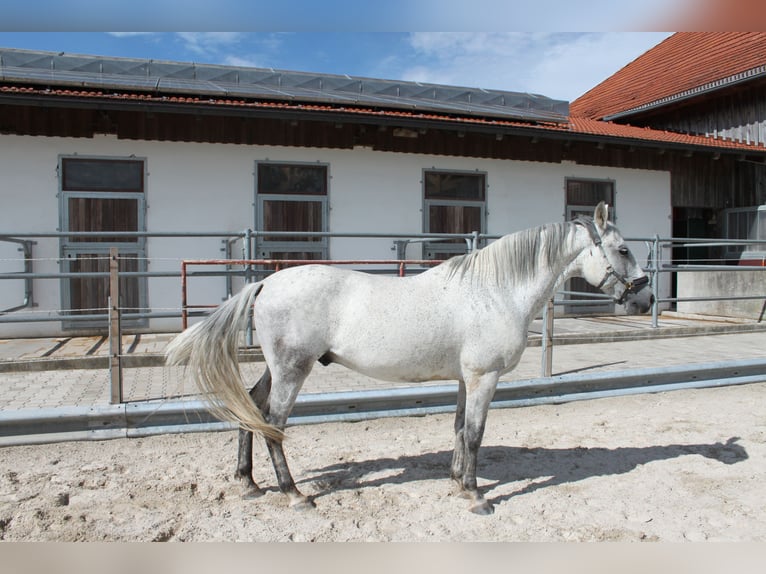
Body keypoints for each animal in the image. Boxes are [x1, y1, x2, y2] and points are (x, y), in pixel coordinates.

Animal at [166, 202, 653, 514]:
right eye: (624, 250)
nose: (646, 299)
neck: (495, 289)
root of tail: (266, 283)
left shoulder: (465, 379)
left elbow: (459, 431)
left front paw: (457, 483)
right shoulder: (485, 377)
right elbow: (476, 435)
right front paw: (477, 496)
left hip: (276, 369)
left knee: (251, 408)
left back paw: (248, 483)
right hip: (291, 371)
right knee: (274, 425)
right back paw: (294, 495)